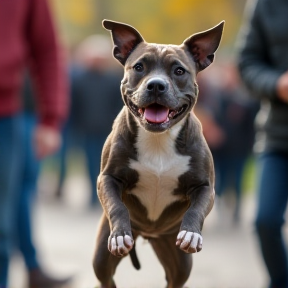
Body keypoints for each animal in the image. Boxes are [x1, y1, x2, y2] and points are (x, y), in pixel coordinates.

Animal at [93, 19, 224, 288]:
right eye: (139, 67)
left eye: (179, 71)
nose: (156, 84)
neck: (158, 139)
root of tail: (148, 234)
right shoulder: (108, 178)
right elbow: (117, 206)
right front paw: (120, 234)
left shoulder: (205, 187)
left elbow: (197, 208)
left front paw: (191, 233)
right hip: (101, 258)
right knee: (105, 277)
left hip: (178, 260)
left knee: (175, 280)